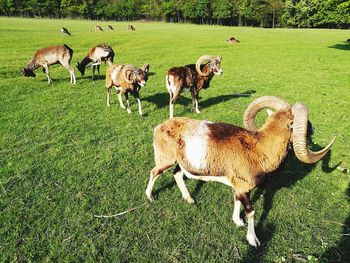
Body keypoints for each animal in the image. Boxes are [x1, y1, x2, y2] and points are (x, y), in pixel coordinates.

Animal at [144, 96, 334, 248]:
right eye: (306, 122)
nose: (313, 128)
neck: (259, 149)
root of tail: (159, 127)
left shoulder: (239, 187)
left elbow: (236, 201)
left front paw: (237, 221)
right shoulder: (244, 189)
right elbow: (251, 212)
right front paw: (253, 240)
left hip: (179, 163)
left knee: (176, 174)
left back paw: (189, 199)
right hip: (166, 160)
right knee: (154, 172)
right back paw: (150, 197)